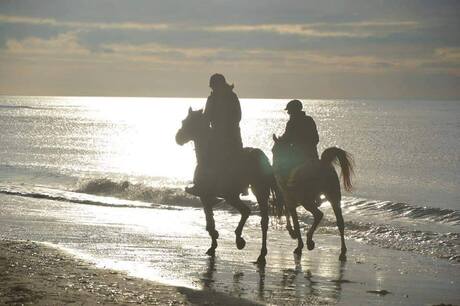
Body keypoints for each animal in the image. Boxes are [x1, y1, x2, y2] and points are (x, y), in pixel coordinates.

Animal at [176, 108, 284, 266]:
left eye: (187, 122)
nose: (178, 138)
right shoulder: (210, 196)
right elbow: (210, 218)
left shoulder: (204, 195)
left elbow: (210, 220)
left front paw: (214, 242)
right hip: (254, 191)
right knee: (260, 219)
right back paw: (259, 253)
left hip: (239, 193)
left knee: (247, 212)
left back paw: (243, 243)